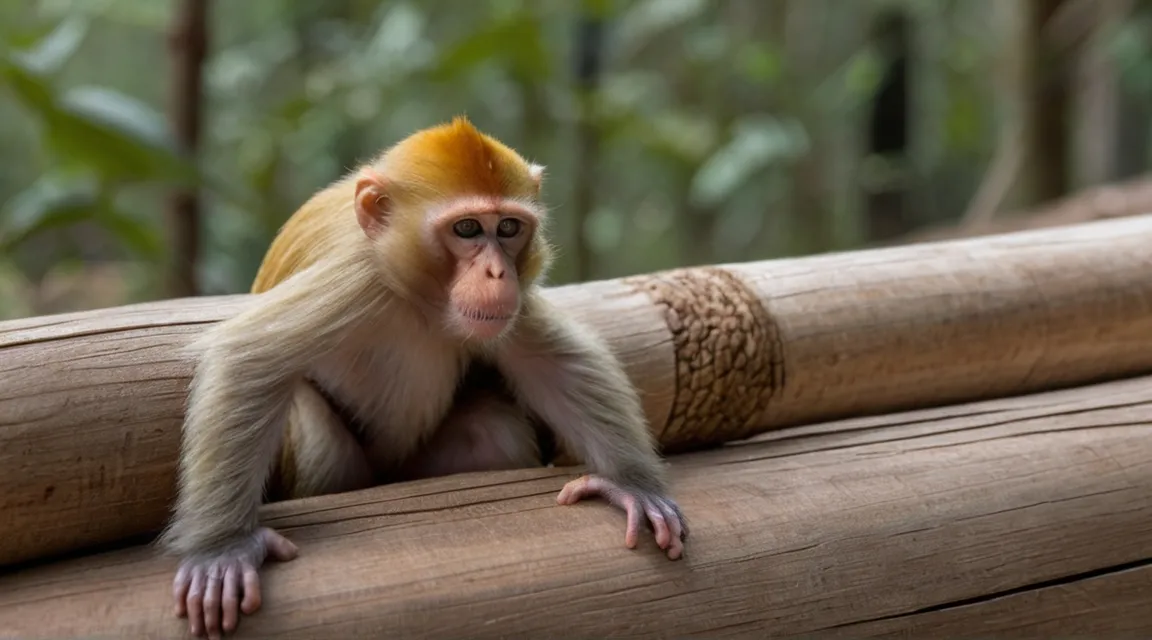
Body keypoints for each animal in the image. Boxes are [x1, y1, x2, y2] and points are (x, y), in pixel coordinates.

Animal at [161, 117, 681, 635]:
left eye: (508, 227)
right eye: (467, 228)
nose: (498, 274)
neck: (421, 301)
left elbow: (553, 361)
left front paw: (633, 486)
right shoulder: (357, 276)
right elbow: (248, 358)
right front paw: (222, 550)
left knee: (491, 432)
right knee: (319, 437)